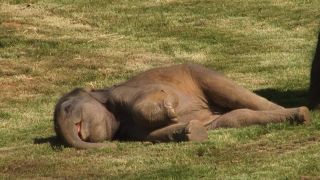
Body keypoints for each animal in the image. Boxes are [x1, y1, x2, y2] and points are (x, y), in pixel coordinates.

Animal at [53, 64, 310, 148]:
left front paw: (171, 108)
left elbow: (155, 97)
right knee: (236, 117)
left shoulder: (127, 92)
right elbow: (156, 134)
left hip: (199, 72)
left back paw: (302, 114)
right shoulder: (132, 132)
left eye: (67, 108)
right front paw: (190, 131)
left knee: (236, 96)